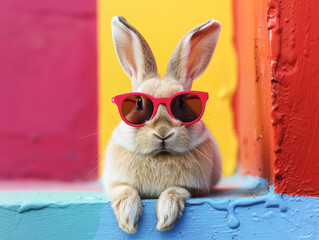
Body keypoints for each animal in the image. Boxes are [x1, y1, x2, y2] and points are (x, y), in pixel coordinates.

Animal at [103, 16, 222, 234]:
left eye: (181, 103)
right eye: (139, 103)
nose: (163, 133)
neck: (160, 157)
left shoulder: (194, 187)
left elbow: (175, 190)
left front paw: (166, 218)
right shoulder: (115, 182)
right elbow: (125, 190)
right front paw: (128, 219)